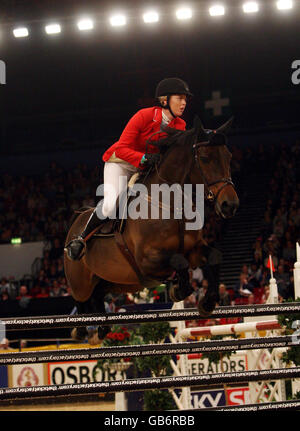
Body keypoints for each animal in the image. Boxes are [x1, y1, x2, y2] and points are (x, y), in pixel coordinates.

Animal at [63, 115, 239, 344]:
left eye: (228, 156)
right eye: (205, 158)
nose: (230, 205)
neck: (172, 204)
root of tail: (77, 220)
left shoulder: (194, 250)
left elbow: (213, 257)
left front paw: (206, 302)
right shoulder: (147, 260)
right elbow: (179, 261)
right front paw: (178, 289)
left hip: (120, 282)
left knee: (98, 294)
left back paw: (102, 328)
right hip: (80, 282)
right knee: (82, 298)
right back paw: (81, 329)